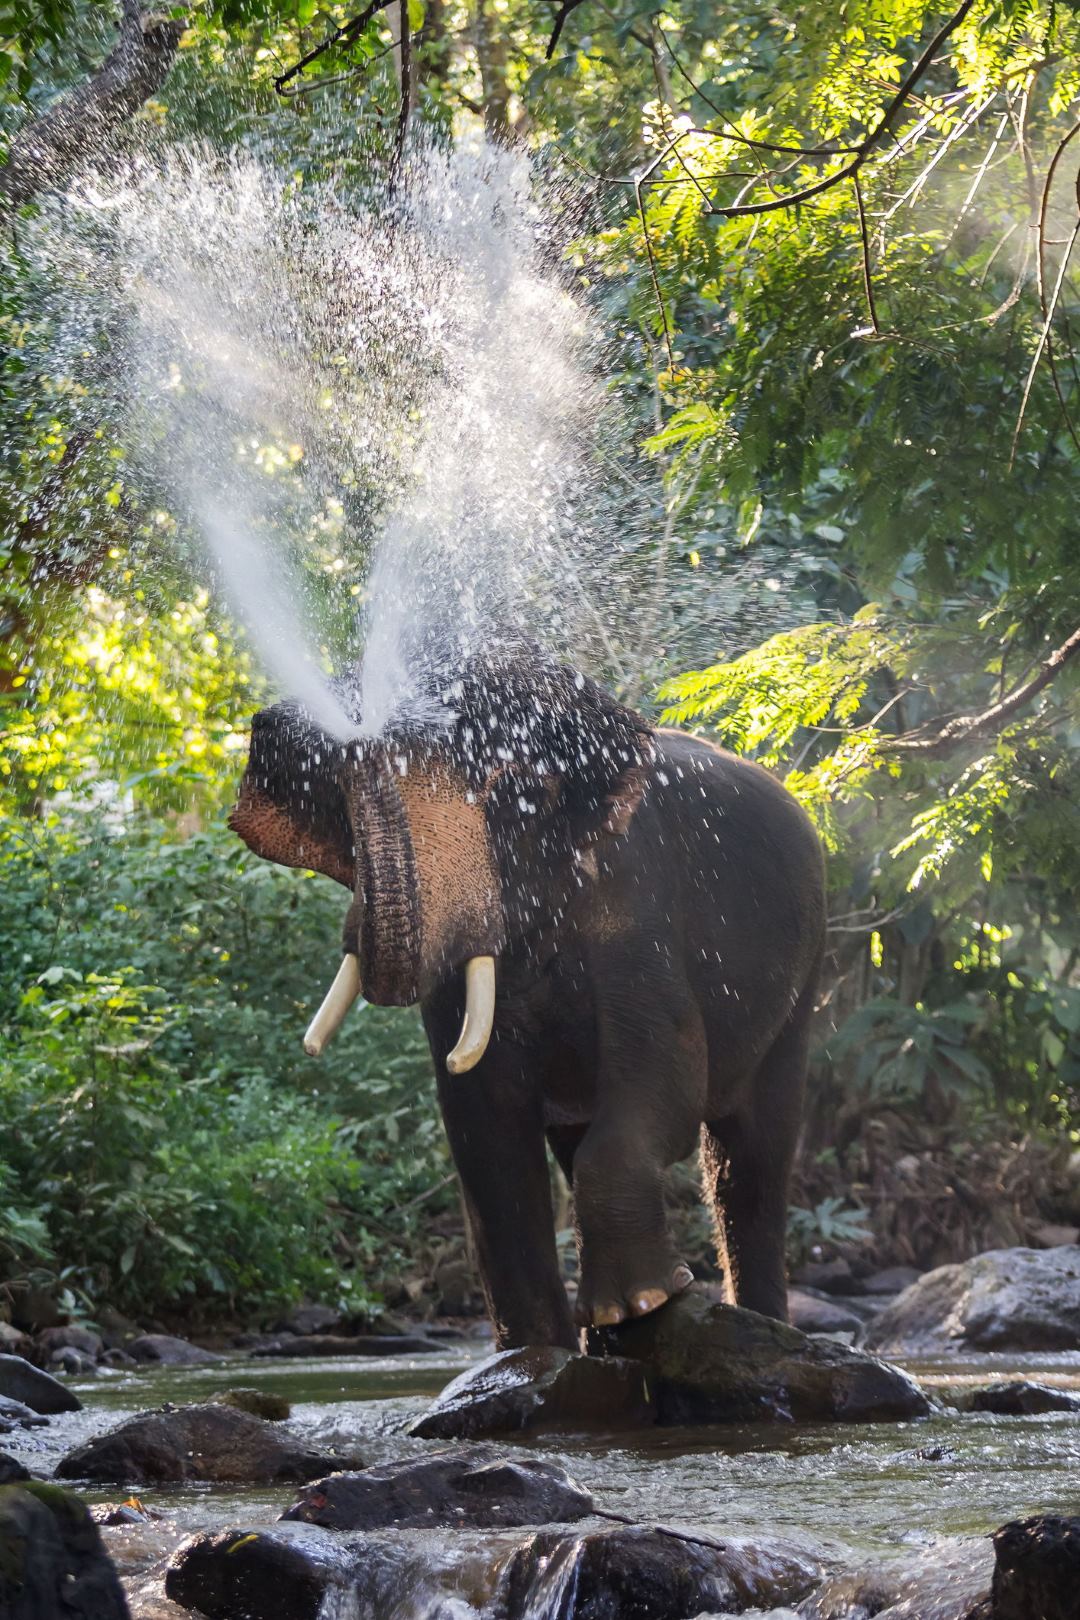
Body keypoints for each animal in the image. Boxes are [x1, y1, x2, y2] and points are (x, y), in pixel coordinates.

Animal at [229, 654, 826, 1350]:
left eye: (520, 797)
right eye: (335, 810)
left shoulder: (637, 899)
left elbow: (666, 1075)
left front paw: (642, 1304)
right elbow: (483, 1129)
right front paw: (534, 1353)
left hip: (804, 978)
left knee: (749, 1161)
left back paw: (758, 1327)